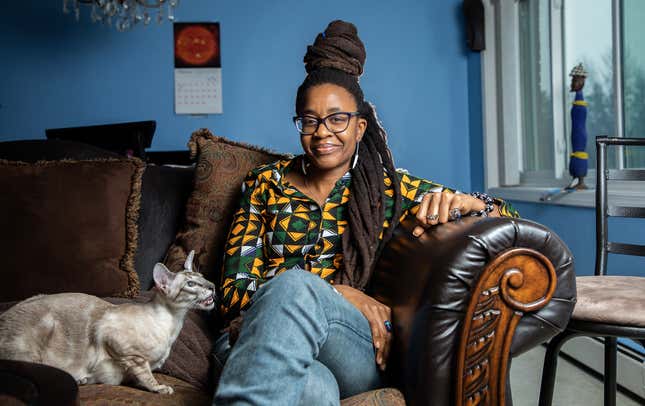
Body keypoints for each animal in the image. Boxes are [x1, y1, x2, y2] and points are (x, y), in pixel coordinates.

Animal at [0, 249, 214, 394]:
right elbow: (145, 373)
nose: (212, 286)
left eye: (203, 278)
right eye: (191, 284)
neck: (173, 326)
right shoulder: (119, 344)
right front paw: (159, 388)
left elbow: (136, 376)